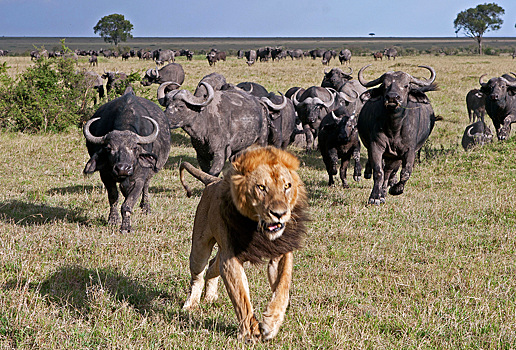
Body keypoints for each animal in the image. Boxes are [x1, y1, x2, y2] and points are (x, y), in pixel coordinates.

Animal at [82, 87, 171, 234]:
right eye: (109, 148)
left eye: (134, 147)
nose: (122, 169)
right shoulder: (106, 176)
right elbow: (113, 197)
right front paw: (113, 220)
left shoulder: (139, 179)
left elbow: (128, 204)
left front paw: (125, 227)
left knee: (146, 187)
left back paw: (146, 208)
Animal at [179, 145, 308, 342]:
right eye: (261, 187)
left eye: (287, 186)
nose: (279, 214)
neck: (257, 228)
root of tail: (213, 181)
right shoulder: (231, 258)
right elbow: (241, 296)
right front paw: (250, 333)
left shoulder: (280, 253)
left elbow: (283, 287)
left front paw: (271, 323)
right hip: (200, 248)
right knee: (198, 275)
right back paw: (190, 304)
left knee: (212, 266)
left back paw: (210, 296)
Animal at [356, 65, 438, 205]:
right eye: (384, 85)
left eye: (405, 85)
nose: (392, 98)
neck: (394, 128)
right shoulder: (376, 146)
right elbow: (378, 171)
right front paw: (374, 197)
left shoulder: (408, 150)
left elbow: (406, 172)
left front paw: (396, 189)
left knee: (389, 172)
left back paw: (384, 192)